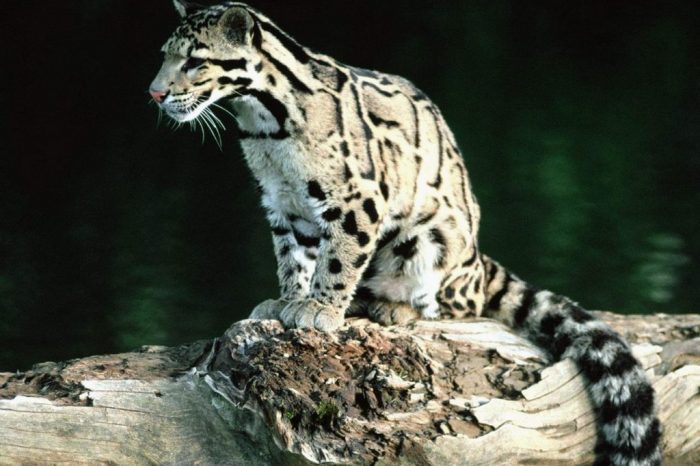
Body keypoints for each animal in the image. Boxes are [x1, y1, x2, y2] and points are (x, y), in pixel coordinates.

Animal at [150, 1, 662, 464]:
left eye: (194, 60)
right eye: (165, 55)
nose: (154, 93)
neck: (265, 125)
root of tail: (479, 263)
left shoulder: (358, 198)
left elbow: (338, 259)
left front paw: (319, 309)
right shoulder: (283, 204)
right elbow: (293, 257)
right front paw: (287, 300)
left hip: (428, 243)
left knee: (451, 306)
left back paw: (393, 307)